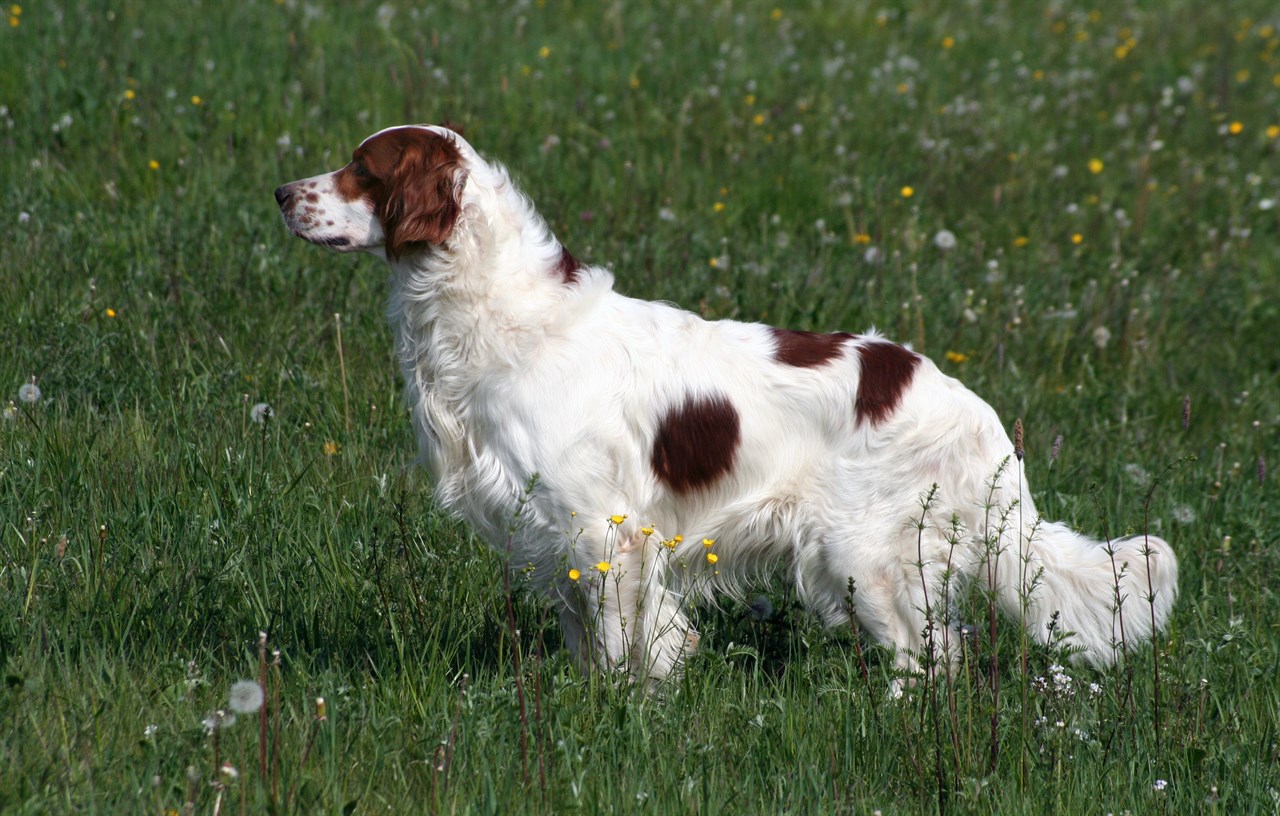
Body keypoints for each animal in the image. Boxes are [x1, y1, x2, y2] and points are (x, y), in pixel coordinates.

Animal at [275, 124, 1172, 685]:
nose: (282, 192)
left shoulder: (604, 530)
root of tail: (981, 419)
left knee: (927, 659)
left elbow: (626, 649)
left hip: (864, 559)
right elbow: (588, 644)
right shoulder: (555, 534)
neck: (497, 315)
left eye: (364, 168)